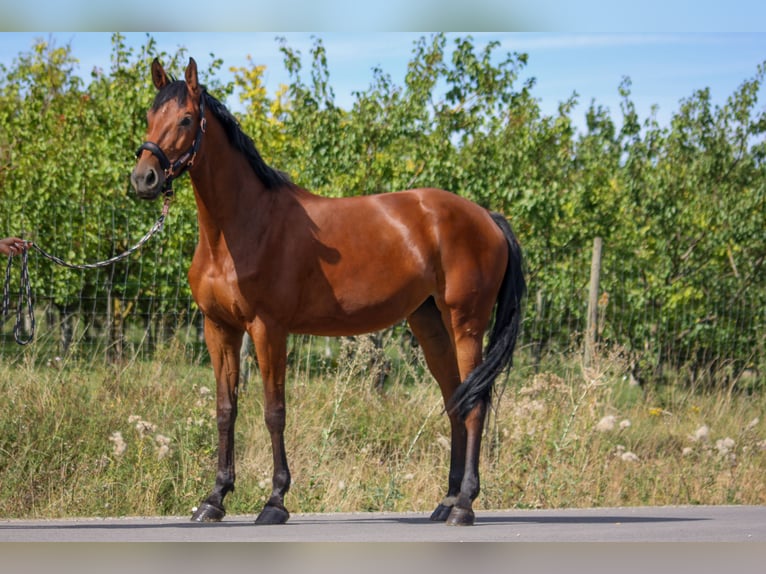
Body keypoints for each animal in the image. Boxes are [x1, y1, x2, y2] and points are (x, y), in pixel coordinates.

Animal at [130, 57, 526, 527]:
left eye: (187, 119)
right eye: (150, 116)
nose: (144, 178)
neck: (242, 227)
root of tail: (486, 216)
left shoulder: (268, 329)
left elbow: (274, 412)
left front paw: (275, 501)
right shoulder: (219, 328)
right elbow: (226, 411)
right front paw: (214, 499)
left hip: (466, 323)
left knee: (476, 403)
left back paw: (464, 505)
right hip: (430, 323)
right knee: (455, 401)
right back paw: (446, 501)